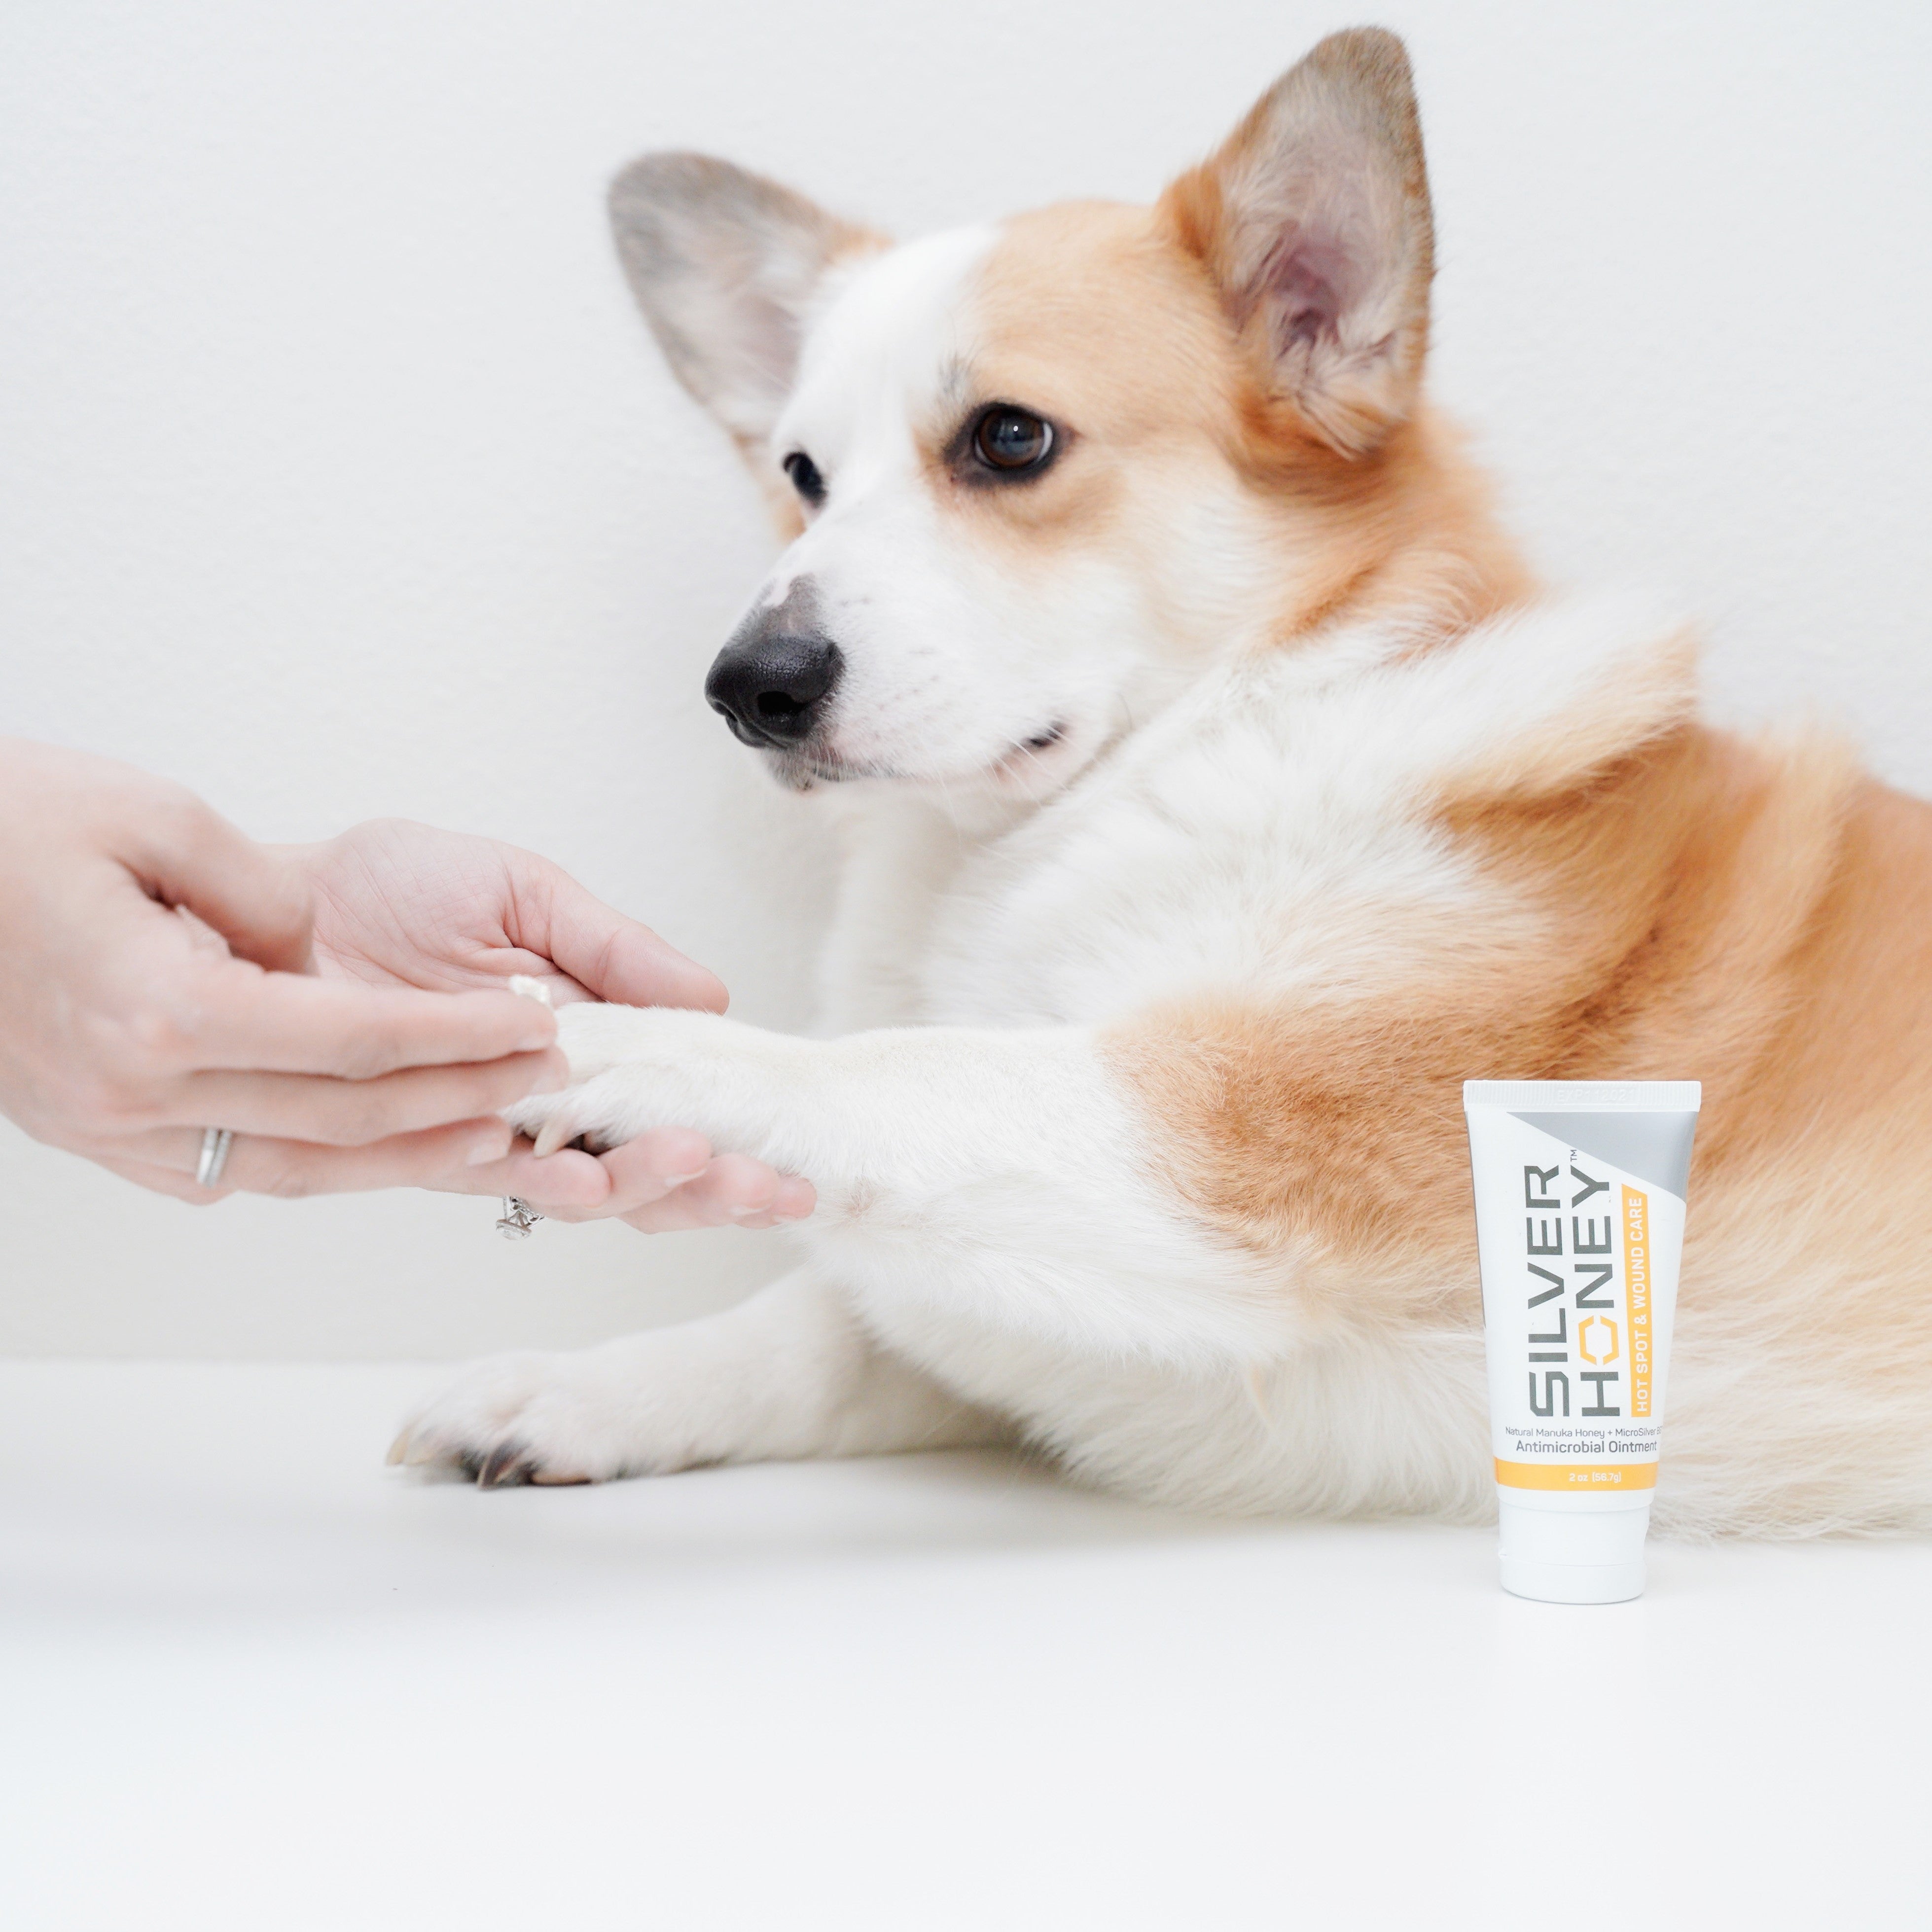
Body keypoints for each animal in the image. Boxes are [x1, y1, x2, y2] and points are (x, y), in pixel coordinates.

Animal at [396, 26, 1932, 1538]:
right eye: (802, 475)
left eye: (1009, 438)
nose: (744, 687)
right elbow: (810, 1329)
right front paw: (568, 1388)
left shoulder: (1206, 1151)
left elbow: (888, 1070)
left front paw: (608, 1041)